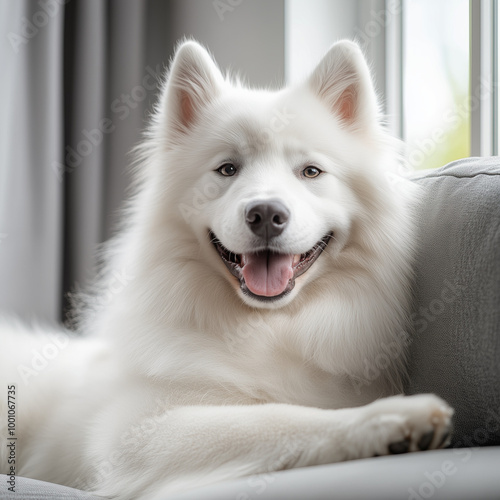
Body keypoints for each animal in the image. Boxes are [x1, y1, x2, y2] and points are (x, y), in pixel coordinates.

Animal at [0, 40, 454, 500]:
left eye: (310, 171)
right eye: (227, 169)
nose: (266, 214)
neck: (268, 329)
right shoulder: (138, 433)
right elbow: (279, 417)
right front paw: (394, 418)